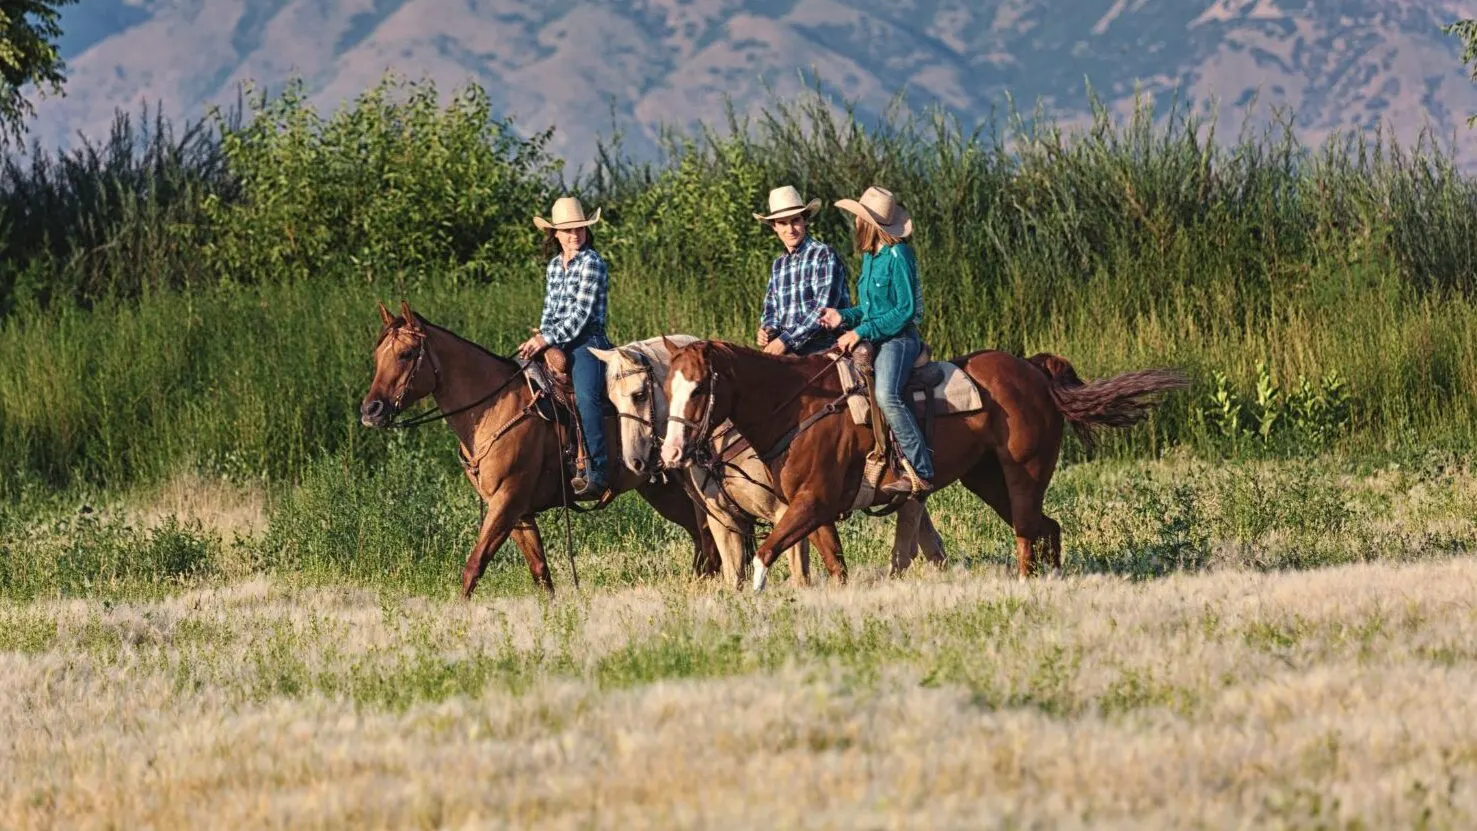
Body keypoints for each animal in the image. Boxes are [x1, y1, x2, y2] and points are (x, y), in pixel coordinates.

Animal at [359, 301, 721, 598]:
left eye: (406, 354)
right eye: (377, 357)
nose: (371, 410)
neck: (494, 407)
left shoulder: (507, 501)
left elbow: (474, 565)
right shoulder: (517, 512)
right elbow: (540, 572)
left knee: (708, 533)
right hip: (660, 489)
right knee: (700, 538)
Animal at [590, 335, 945, 589]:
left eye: (639, 394)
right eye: (610, 399)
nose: (639, 460)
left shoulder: (787, 511)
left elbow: (799, 573)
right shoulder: (725, 522)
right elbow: (735, 576)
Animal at [659, 340, 1189, 590]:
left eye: (700, 388)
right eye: (667, 387)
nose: (671, 454)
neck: (801, 407)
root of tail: (1033, 370)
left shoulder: (812, 502)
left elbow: (766, 552)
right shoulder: (813, 508)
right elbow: (833, 564)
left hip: (1025, 472)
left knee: (1027, 531)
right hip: (986, 479)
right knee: (1046, 527)